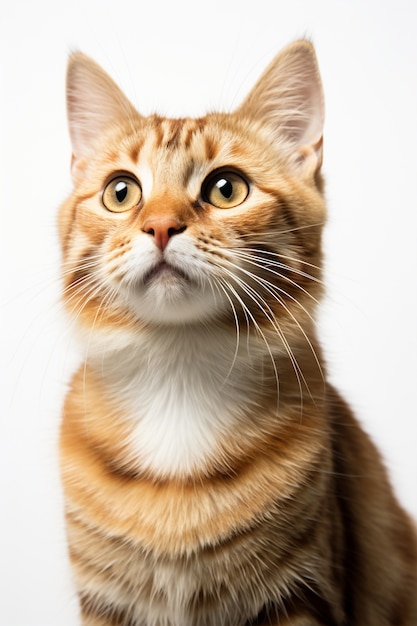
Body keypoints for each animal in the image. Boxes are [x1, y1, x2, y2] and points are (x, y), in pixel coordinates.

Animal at [58, 41, 416, 620]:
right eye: (121, 192)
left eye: (226, 189)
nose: (160, 226)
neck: (177, 378)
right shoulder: (106, 603)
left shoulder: (298, 595)